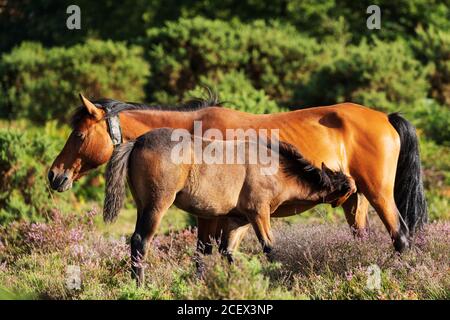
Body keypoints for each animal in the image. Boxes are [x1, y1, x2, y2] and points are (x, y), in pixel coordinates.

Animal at [47, 93, 428, 262]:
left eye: (79, 135)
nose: (55, 175)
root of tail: (385, 117)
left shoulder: (217, 214)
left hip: (379, 194)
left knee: (400, 236)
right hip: (355, 202)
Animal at [103, 126, 356, 284]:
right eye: (351, 191)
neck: (273, 167)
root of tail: (137, 141)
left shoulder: (238, 220)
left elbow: (226, 253)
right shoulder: (259, 214)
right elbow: (270, 248)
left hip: (143, 207)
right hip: (157, 206)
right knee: (140, 241)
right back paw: (140, 284)